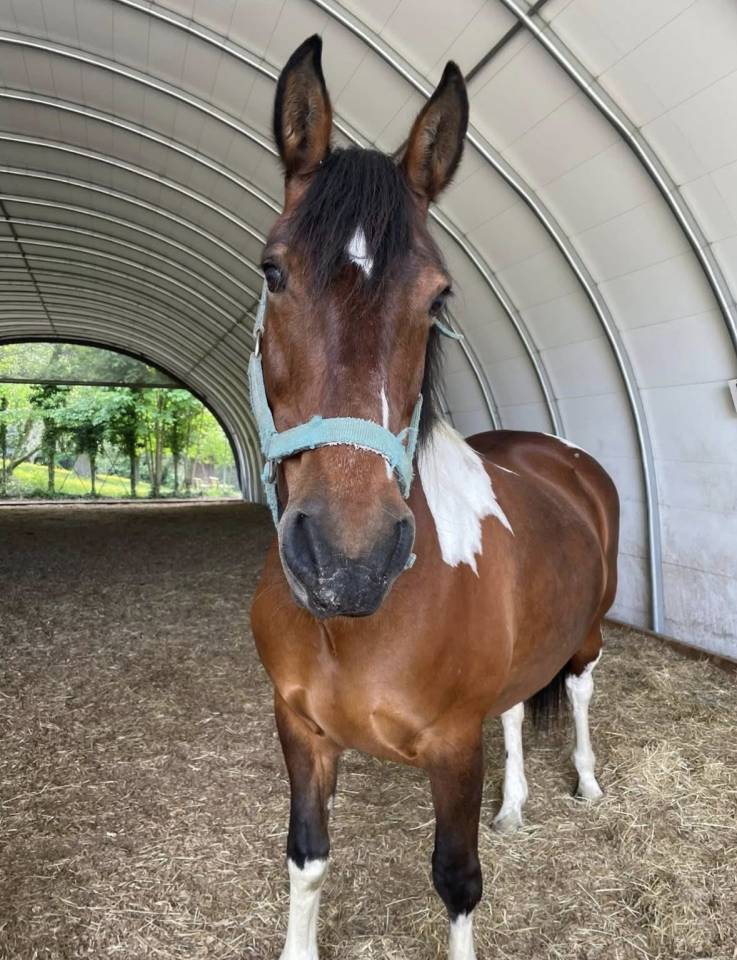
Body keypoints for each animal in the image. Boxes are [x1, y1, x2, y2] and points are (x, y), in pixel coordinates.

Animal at [250, 35, 619, 960]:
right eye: (273, 272)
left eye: (438, 295)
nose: (345, 562)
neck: (353, 631)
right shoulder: (300, 733)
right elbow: (306, 858)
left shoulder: (453, 749)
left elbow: (457, 880)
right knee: (519, 711)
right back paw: (517, 805)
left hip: (588, 634)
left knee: (579, 694)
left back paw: (586, 784)